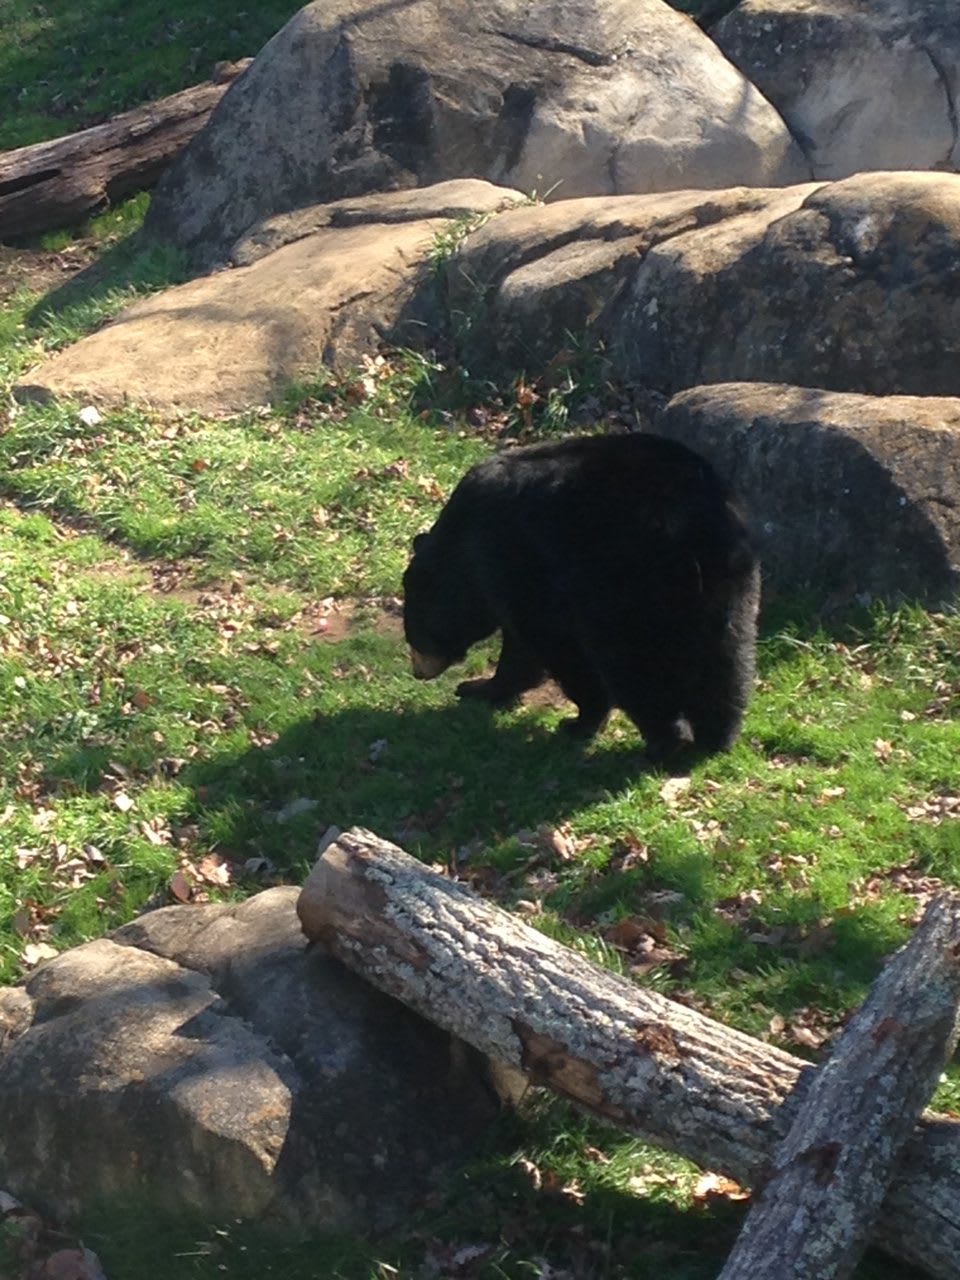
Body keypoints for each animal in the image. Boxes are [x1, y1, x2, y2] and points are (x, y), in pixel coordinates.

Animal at [402, 432, 760, 762]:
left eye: (414, 635)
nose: (418, 672)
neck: (464, 540)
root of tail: (695, 529)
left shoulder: (515, 556)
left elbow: (544, 639)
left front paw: (577, 719)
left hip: (631, 582)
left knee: (634, 662)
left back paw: (664, 743)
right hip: (729, 583)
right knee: (726, 656)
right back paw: (717, 736)